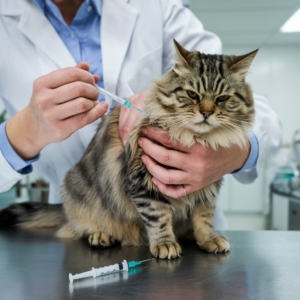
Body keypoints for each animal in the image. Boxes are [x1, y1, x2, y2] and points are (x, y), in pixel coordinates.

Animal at [0, 39, 258, 258]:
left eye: (222, 99)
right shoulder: (142, 180)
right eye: (192, 95)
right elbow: (158, 216)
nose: (206, 113)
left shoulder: (208, 182)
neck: (195, 138)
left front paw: (208, 238)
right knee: (78, 228)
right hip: (75, 190)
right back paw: (101, 235)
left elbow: (203, 216)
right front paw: (165, 243)